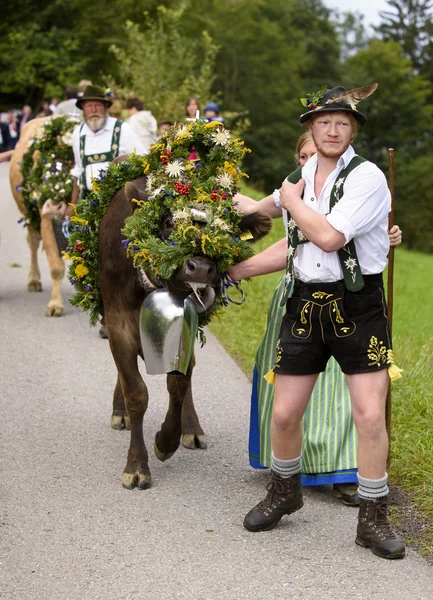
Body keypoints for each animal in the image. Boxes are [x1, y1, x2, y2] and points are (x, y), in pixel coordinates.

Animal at [65, 119, 270, 490]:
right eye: (168, 222)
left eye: (225, 230)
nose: (200, 267)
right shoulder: (118, 322)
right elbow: (136, 391)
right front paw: (136, 465)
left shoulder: (185, 327)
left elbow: (178, 384)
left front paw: (166, 440)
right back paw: (119, 412)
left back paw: (193, 430)